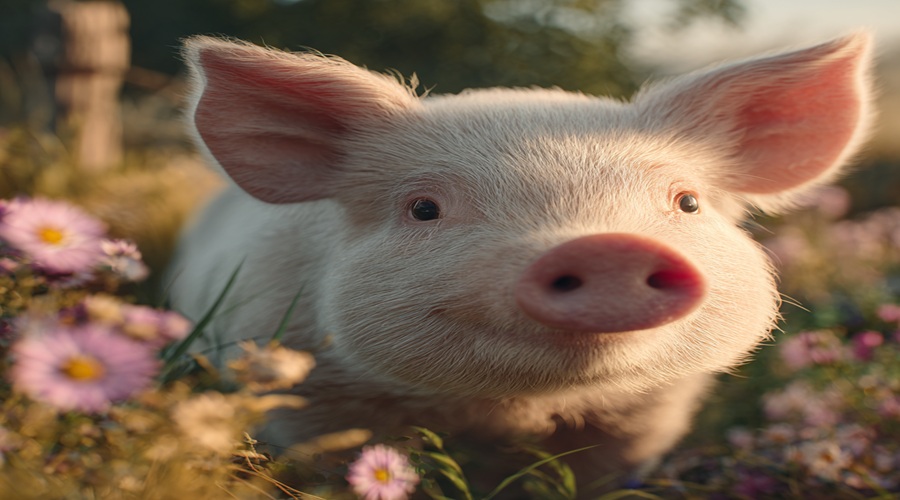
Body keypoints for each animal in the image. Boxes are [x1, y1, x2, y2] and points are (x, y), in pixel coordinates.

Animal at [167, 32, 873, 493]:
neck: (508, 409)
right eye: (424, 208)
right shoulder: (303, 393)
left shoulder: (645, 421)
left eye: (687, 201)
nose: (604, 244)